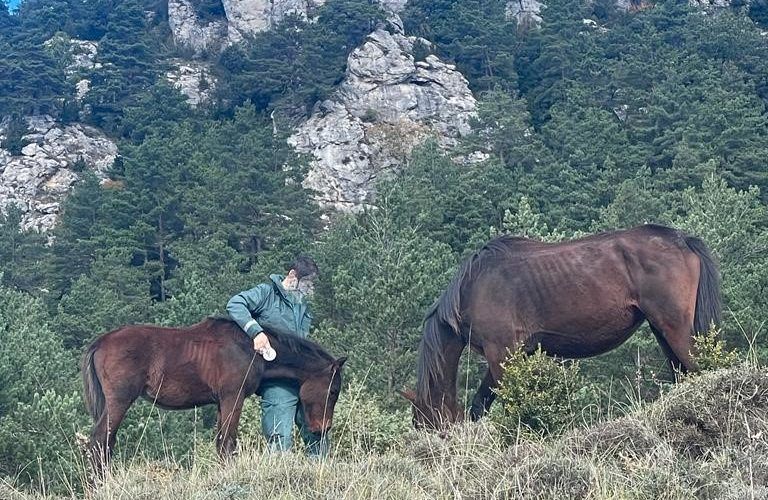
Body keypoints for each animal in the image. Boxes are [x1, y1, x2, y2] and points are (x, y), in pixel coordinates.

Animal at [81, 317, 346, 472]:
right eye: (333, 391)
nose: (322, 428)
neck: (252, 349)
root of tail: (101, 342)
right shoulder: (233, 397)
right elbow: (228, 442)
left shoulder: (221, 402)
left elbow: (220, 441)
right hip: (119, 401)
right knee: (99, 441)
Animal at [402, 224, 721, 429]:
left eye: (423, 423)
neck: (473, 287)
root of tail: (682, 238)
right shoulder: (517, 355)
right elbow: (481, 405)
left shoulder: (501, 353)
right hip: (662, 331)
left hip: (675, 329)